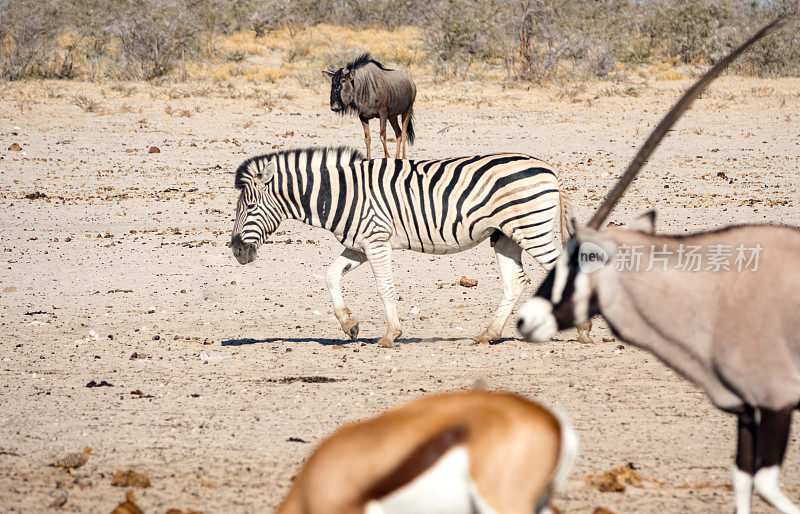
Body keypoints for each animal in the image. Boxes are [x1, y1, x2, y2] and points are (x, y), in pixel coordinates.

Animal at [231, 148, 576, 348]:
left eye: (249, 206)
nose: (236, 251)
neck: (343, 192)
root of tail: (548, 168)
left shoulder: (376, 240)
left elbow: (385, 287)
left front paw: (390, 335)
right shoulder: (359, 245)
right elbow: (330, 276)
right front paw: (349, 325)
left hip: (532, 229)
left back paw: (582, 331)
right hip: (505, 235)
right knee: (515, 282)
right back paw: (488, 334)